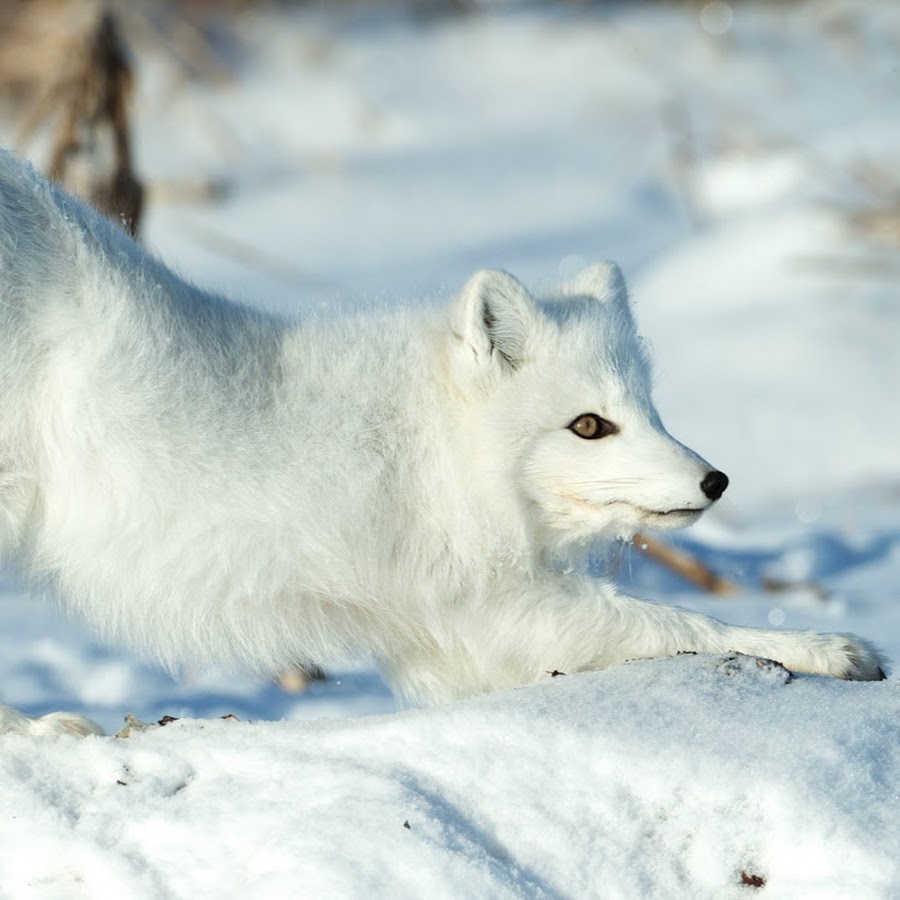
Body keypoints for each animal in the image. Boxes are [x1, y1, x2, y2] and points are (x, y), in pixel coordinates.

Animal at [0, 151, 884, 736]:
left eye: (651, 412)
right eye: (590, 425)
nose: (715, 482)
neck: (432, 444)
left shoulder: (451, 637)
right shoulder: (489, 605)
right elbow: (678, 625)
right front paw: (824, 646)